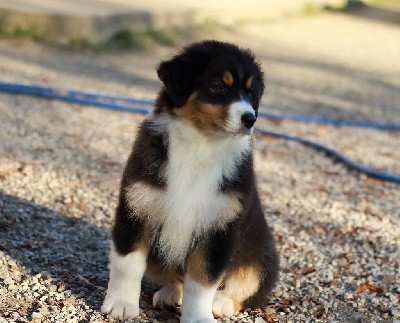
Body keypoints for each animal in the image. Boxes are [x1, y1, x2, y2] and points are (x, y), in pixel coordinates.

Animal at [101, 39, 280, 322]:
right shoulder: (136, 209)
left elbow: (202, 281)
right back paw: (170, 294)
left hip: (262, 258)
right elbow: (126, 264)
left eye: (252, 94)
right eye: (219, 87)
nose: (250, 119)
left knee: (246, 287)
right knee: (173, 278)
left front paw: (198, 317)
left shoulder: (219, 228)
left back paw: (222, 303)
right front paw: (121, 304)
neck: (200, 145)